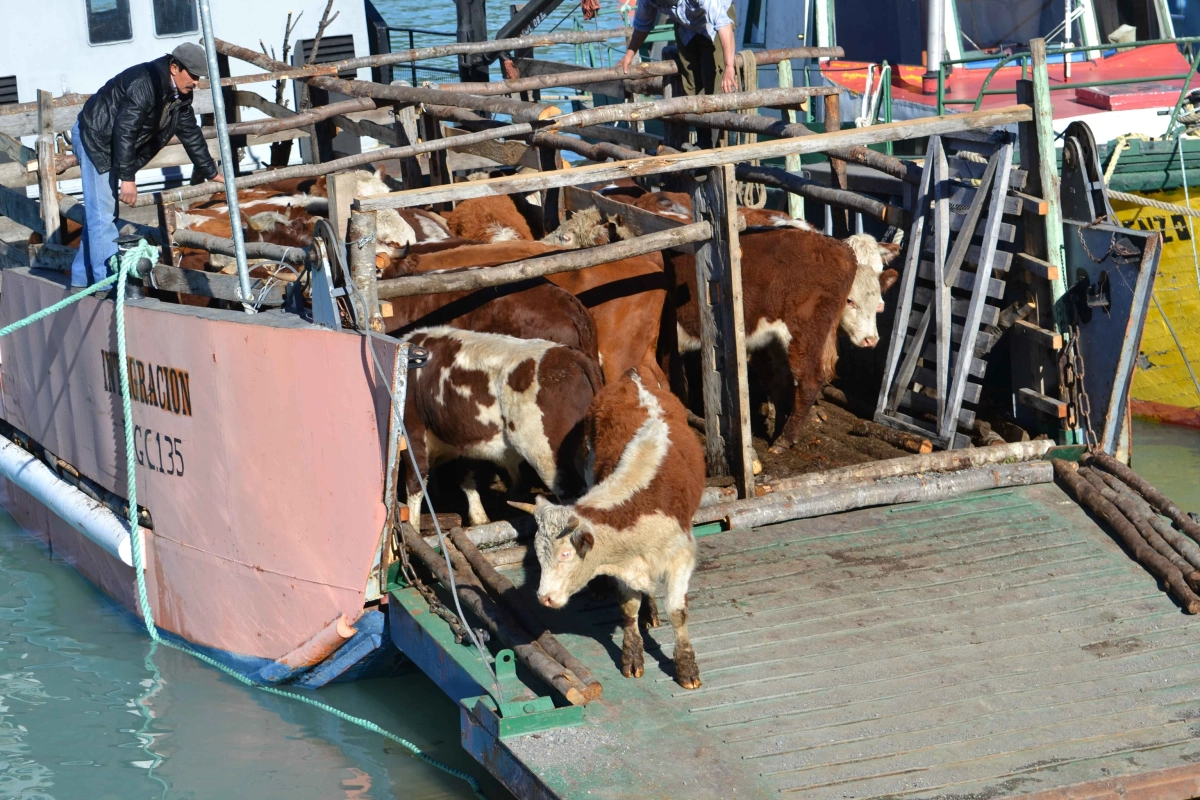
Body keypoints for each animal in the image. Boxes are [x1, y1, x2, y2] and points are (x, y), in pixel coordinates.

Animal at [401, 327, 603, 526]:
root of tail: (571, 355)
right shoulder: (463, 436)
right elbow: (467, 478)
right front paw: (479, 518)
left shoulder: (412, 432)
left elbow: (416, 482)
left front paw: (413, 527)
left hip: (546, 455)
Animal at [512, 366, 705, 689]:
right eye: (538, 555)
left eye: (566, 555)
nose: (544, 598)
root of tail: (632, 377)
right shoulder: (625, 564)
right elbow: (628, 608)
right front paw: (633, 656)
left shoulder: (681, 557)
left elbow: (678, 612)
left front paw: (687, 667)